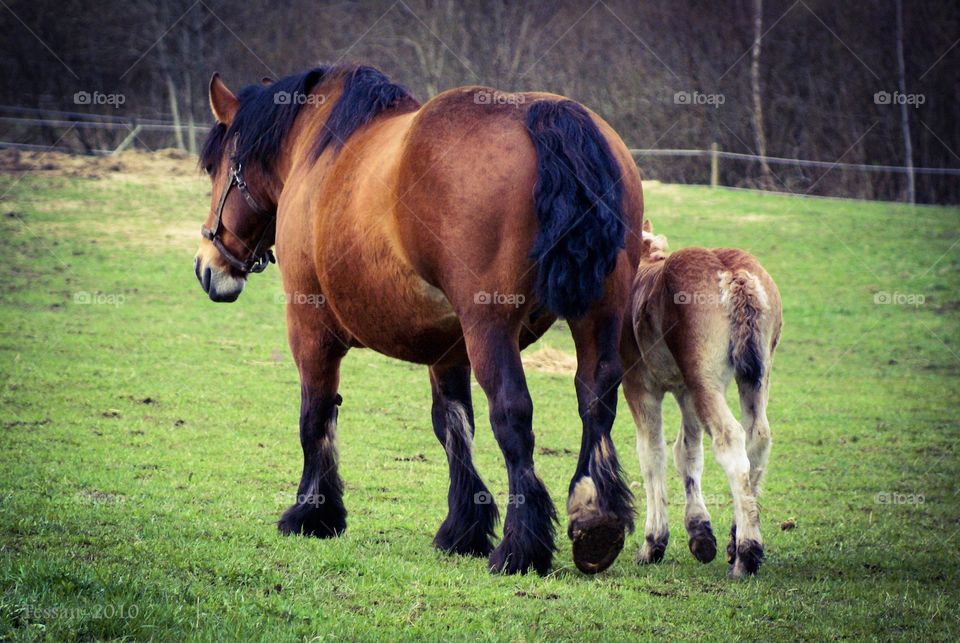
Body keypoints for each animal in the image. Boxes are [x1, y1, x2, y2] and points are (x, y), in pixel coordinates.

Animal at [193, 63, 644, 576]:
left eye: (215, 168)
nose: (208, 266)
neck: (317, 150)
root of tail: (549, 116)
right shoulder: (447, 348)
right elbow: (452, 424)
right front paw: (463, 527)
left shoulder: (309, 328)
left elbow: (315, 413)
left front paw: (313, 513)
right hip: (598, 315)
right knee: (596, 399)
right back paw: (595, 521)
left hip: (490, 329)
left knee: (513, 412)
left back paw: (520, 546)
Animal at [624, 221, 780, 580]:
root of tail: (732, 273)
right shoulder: (685, 392)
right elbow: (687, 452)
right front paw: (700, 534)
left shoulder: (639, 387)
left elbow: (652, 453)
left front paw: (653, 543)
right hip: (753, 378)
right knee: (757, 439)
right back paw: (737, 540)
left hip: (706, 383)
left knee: (730, 440)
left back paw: (747, 554)